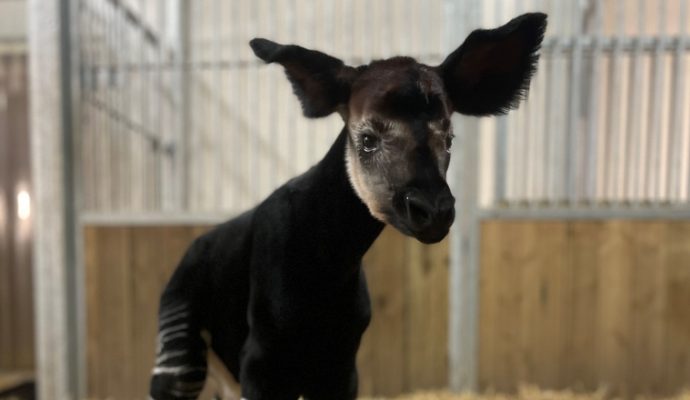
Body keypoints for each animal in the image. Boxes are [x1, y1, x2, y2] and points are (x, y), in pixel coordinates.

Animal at [149, 12, 544, 400]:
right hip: (182, 350)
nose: (434, 212)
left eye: (449, 139)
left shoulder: (339, 367)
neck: (330, 258)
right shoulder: (262, 363)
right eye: (367, 139)